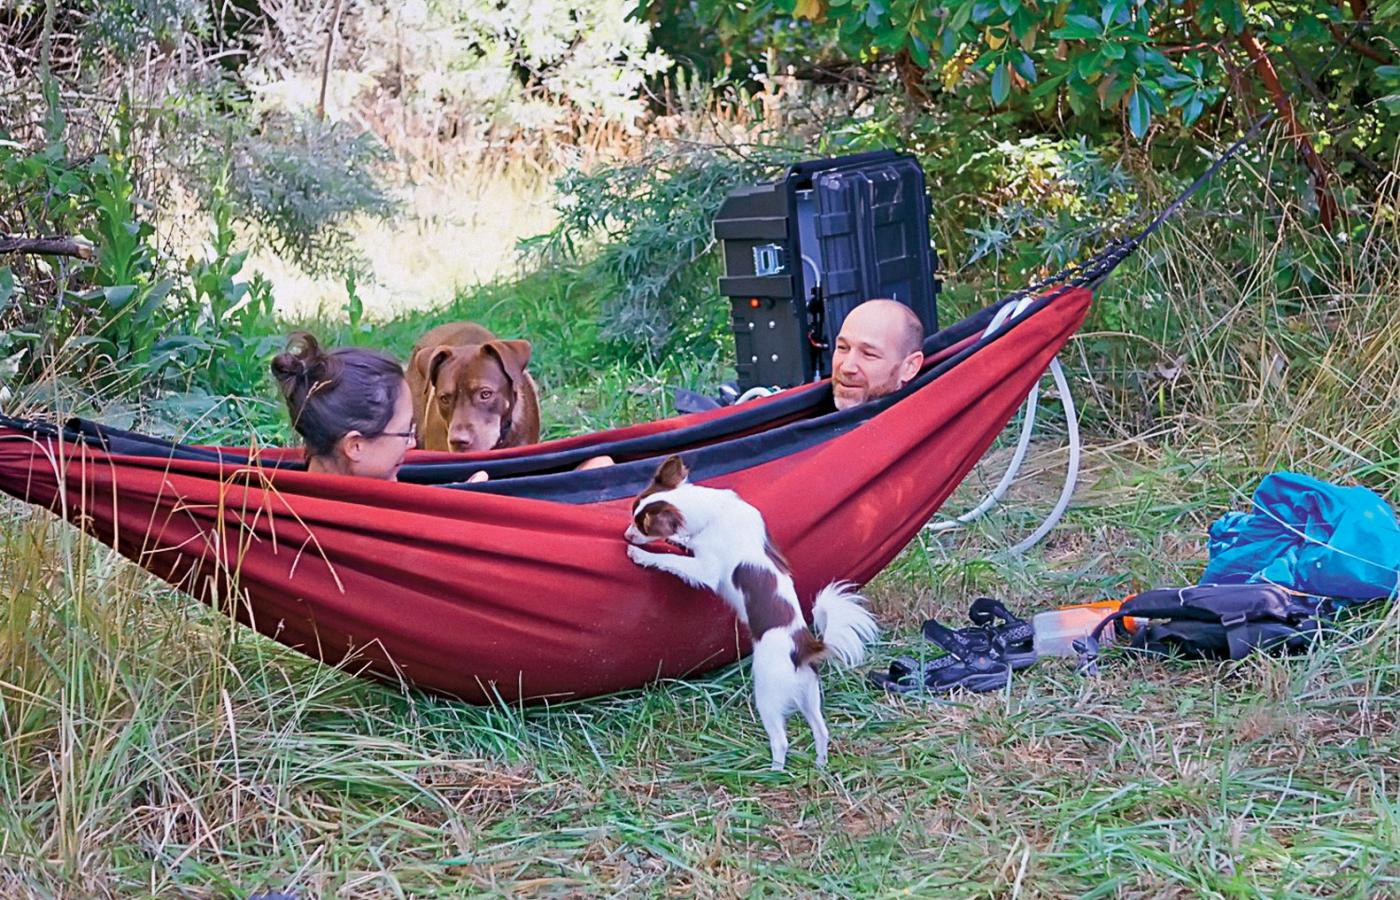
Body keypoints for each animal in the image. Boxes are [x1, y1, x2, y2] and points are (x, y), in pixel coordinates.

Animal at [624, 455, 879, 771]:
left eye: (643, 527)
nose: (625, 534)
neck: (713, 511)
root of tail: (805, 646)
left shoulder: (705, 570)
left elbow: (673, 562)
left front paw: (642, 555)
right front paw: (681, 541)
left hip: (768, 693)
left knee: (780, 740)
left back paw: (773, 773)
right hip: (809, 694)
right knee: (821, 730)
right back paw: (820, 765)